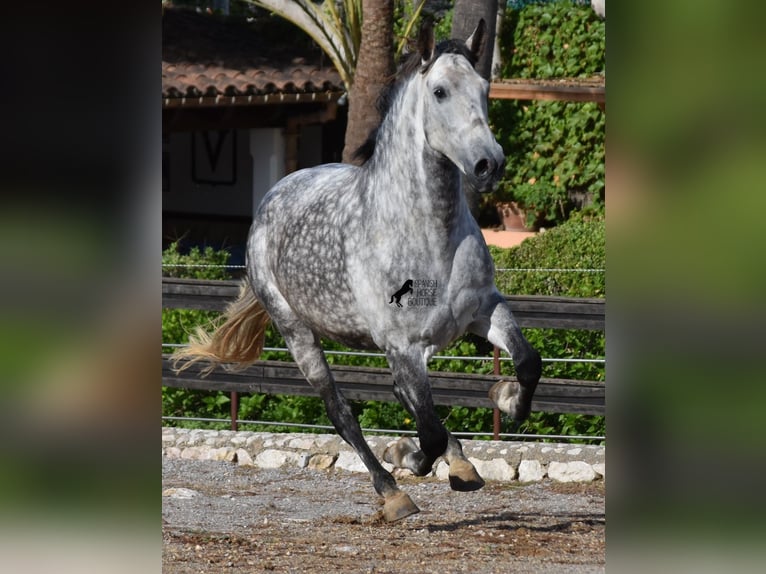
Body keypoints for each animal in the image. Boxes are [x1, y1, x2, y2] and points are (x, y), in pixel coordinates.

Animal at [177, 20, 544, 524]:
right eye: (440, 91)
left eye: (484, 88)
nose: (489, 164)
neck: (429, 235)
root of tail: (274, 196)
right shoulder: (402, 346)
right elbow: (426, 432)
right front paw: (405, 456)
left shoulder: (483, 312)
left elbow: (527, 363)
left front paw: (504, 399)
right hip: (298, 334)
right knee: (342, 412)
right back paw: (391, 491)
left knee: (402, 397)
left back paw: (460, 464)